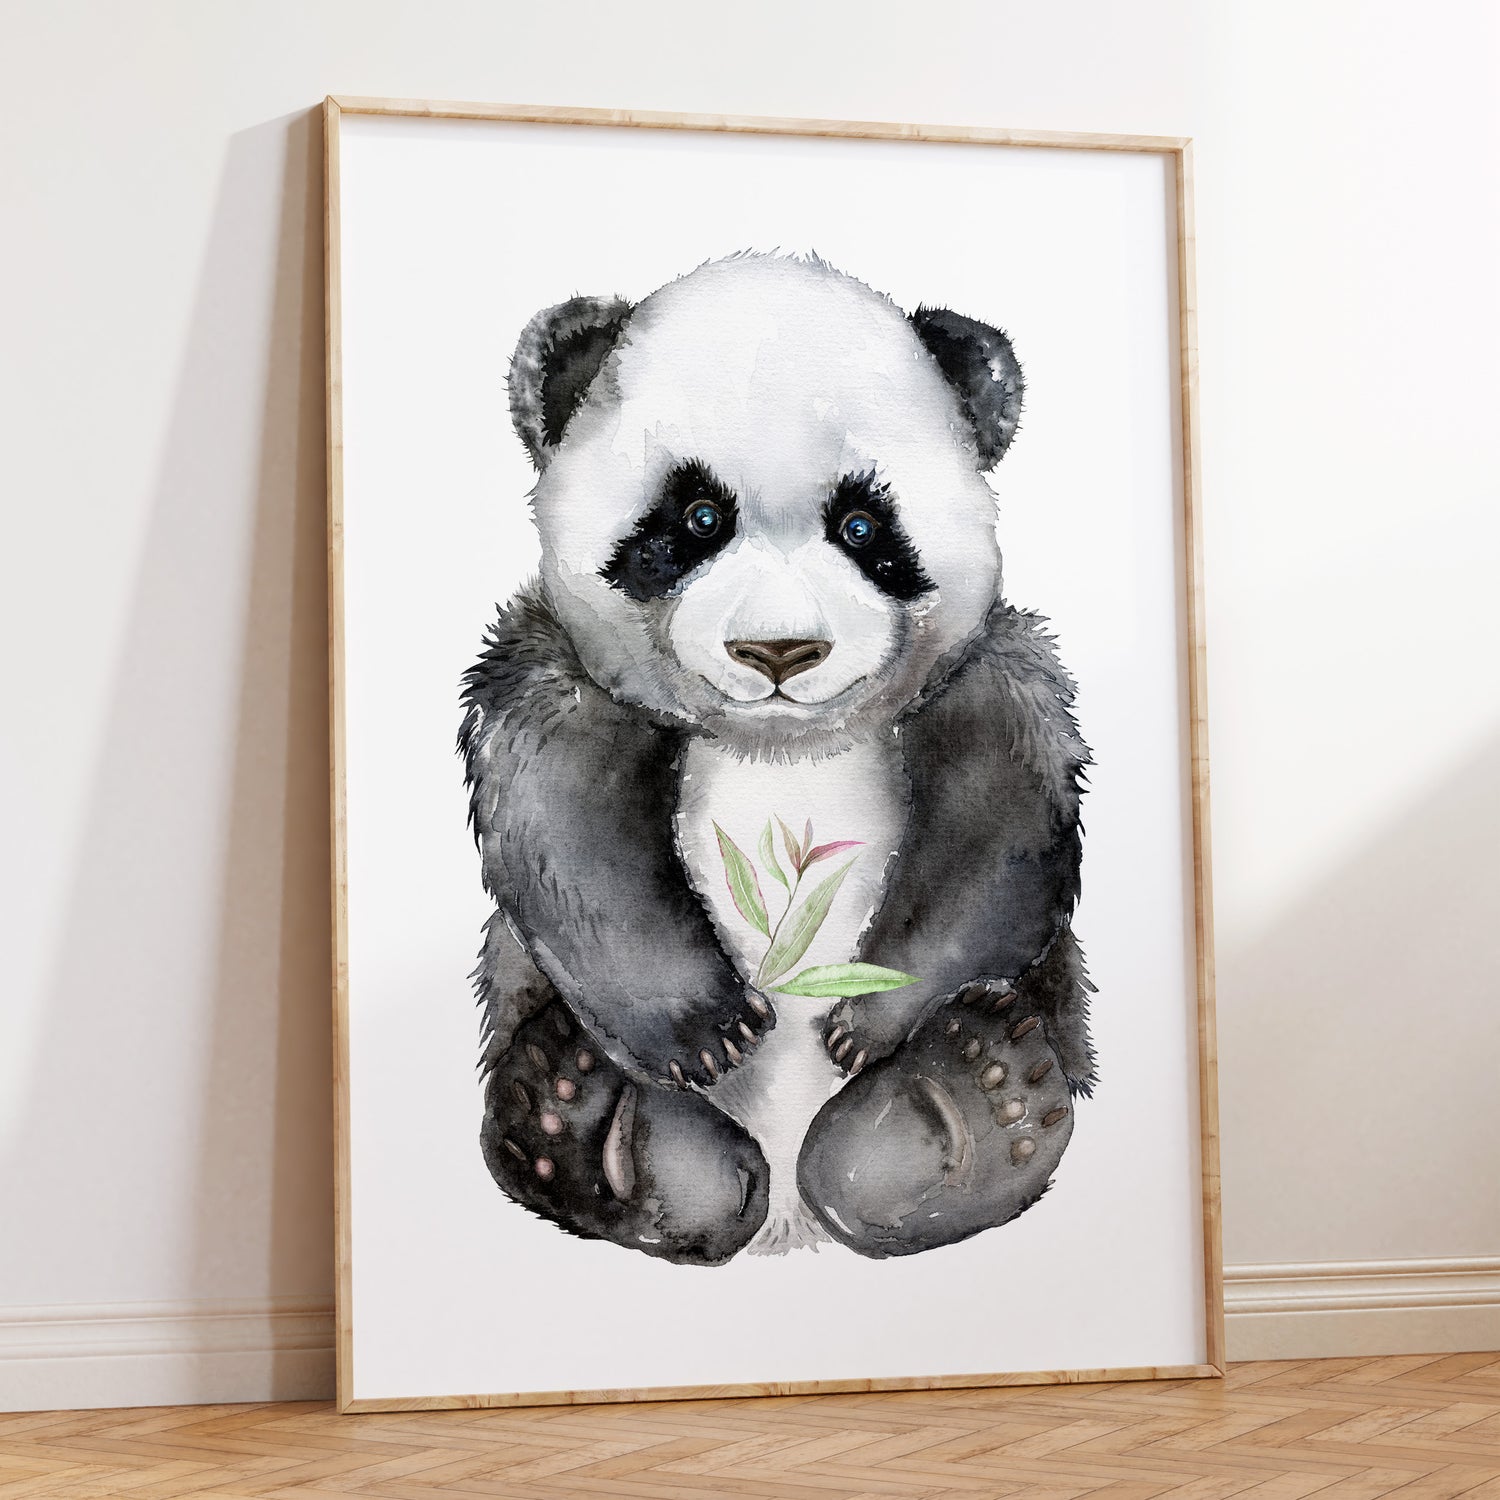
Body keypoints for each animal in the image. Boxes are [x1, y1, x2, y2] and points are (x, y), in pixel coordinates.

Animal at [459, 253, 1095, 1264]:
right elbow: (563, 826)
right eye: (697, 517)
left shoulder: (985, 674)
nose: (780, 651)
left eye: (863, 526)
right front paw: (709, 1032)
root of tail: (791, 1228)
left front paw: (871, 1021)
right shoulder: (559, 670)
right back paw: (583, 1118)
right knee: (702, 1178)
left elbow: (1000, 832)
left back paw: (974, 1097)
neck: (781, 751)